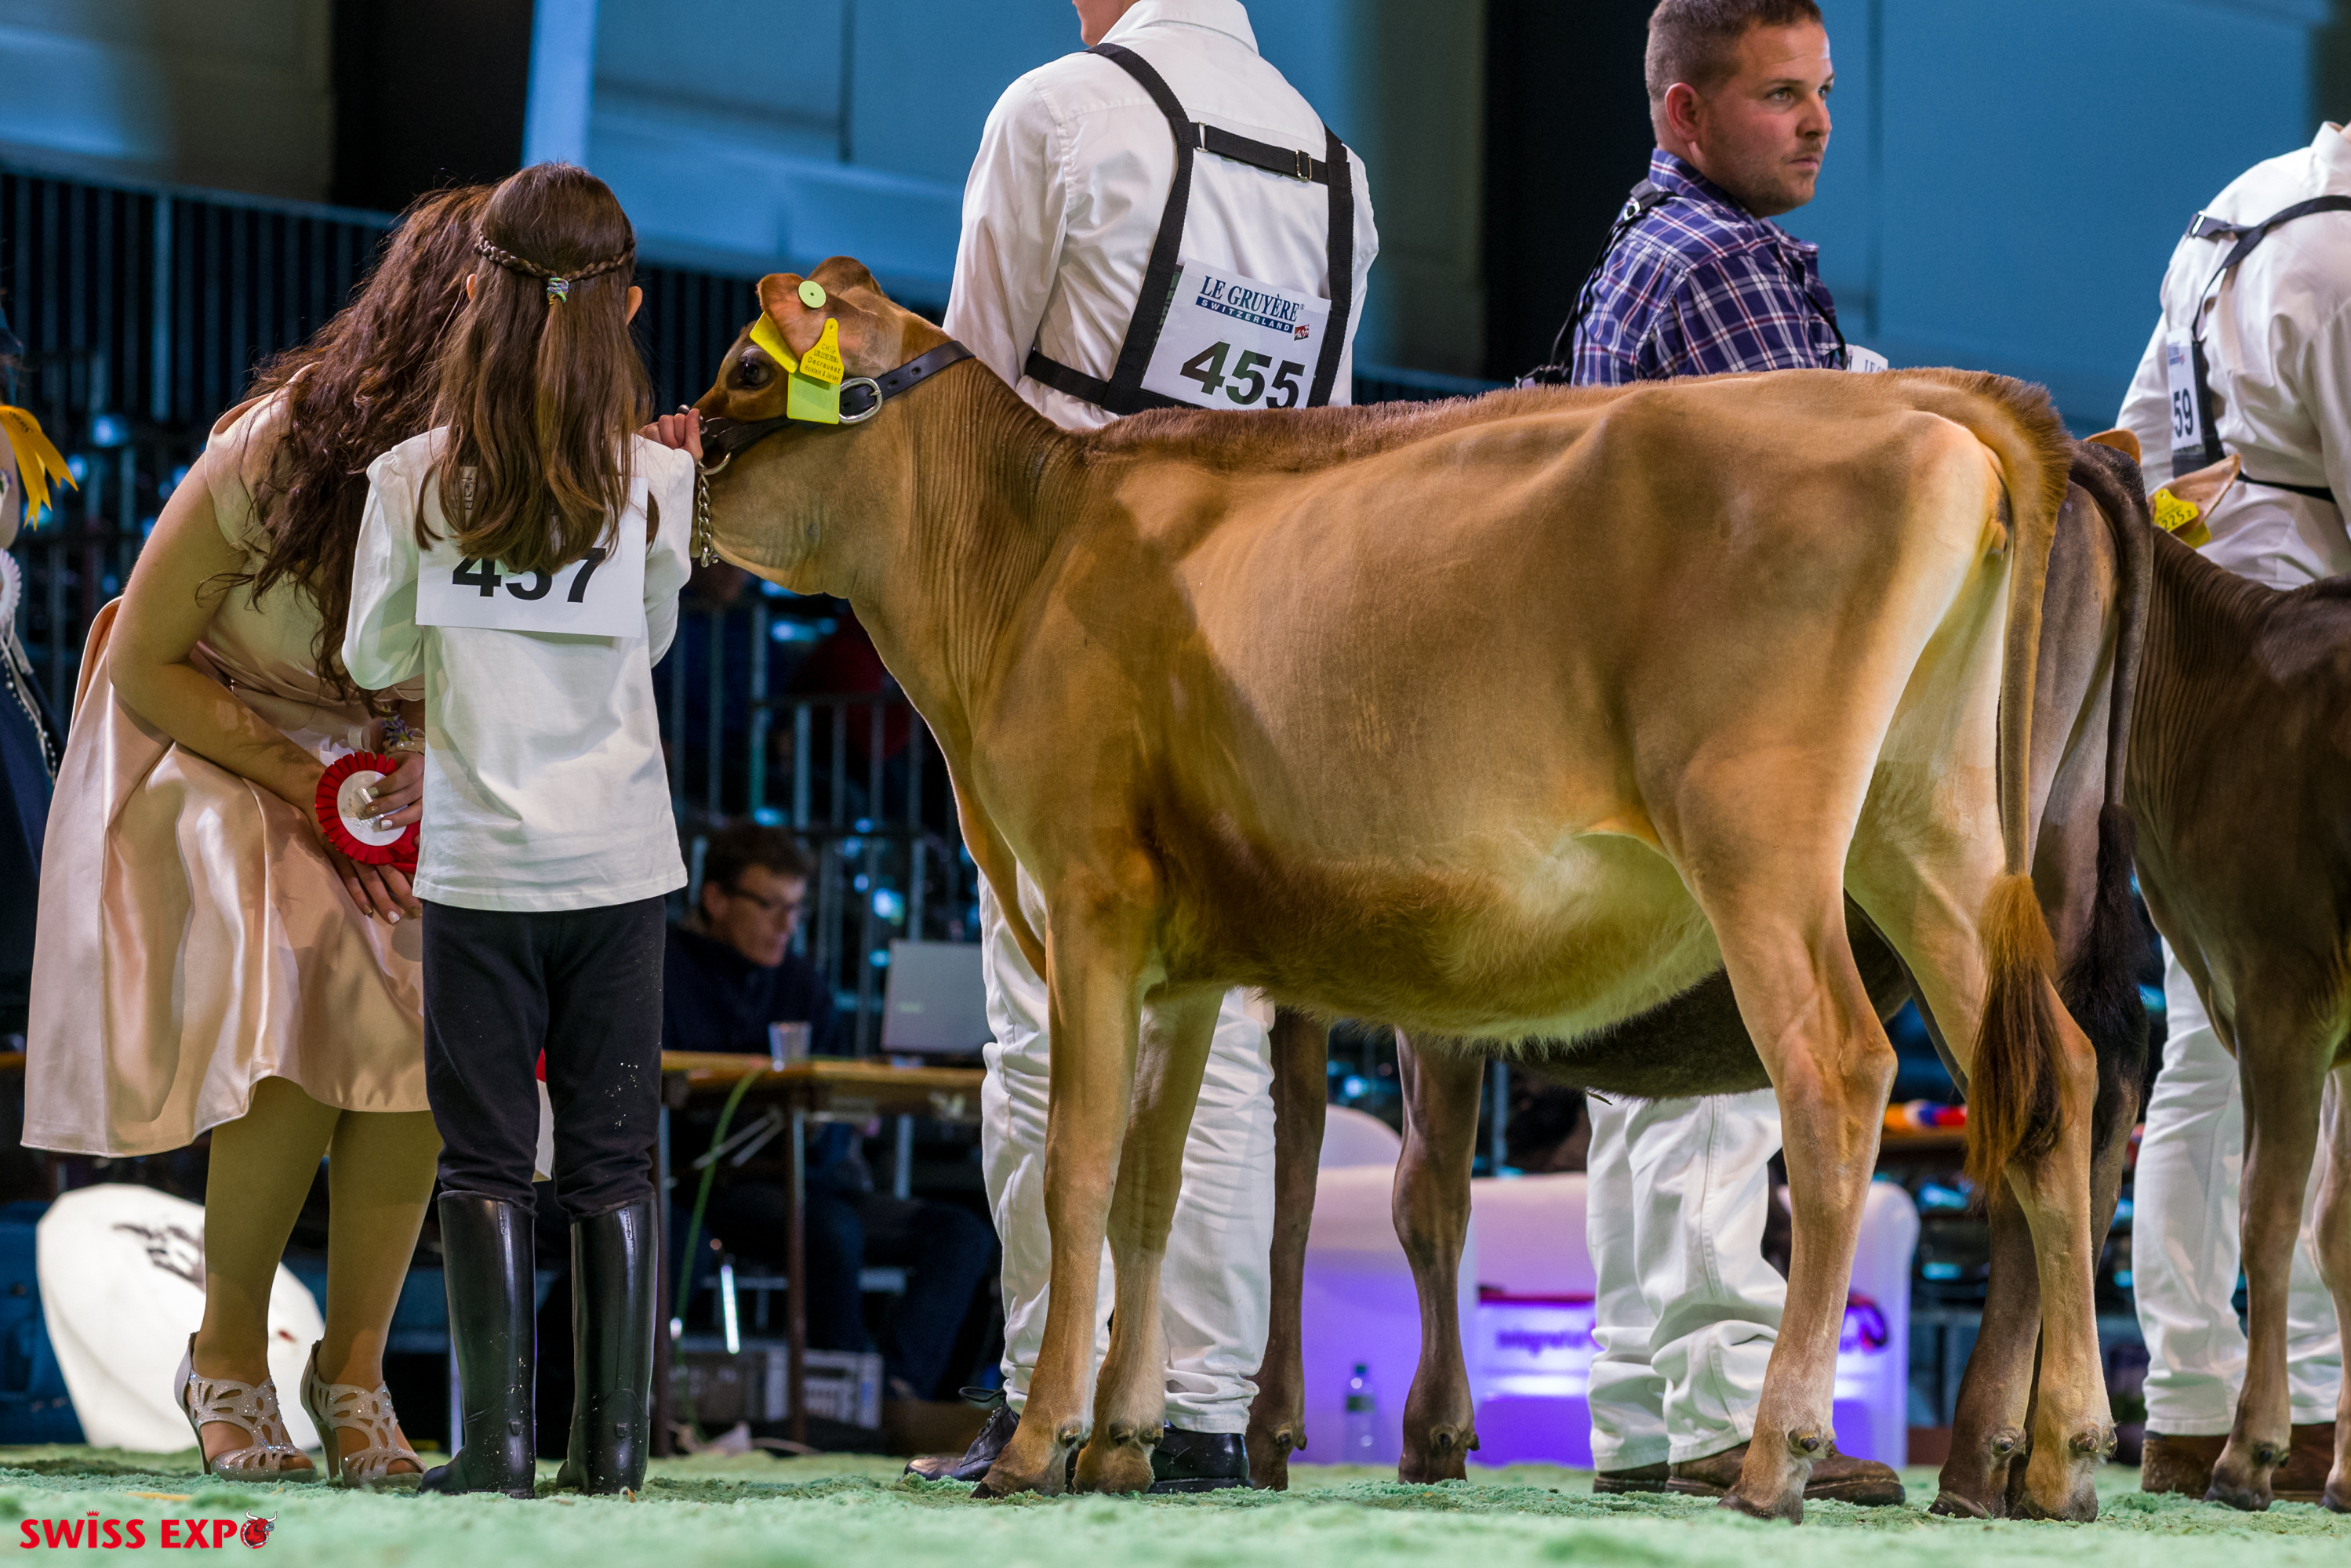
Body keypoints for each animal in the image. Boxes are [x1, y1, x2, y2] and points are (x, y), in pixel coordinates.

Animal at [690, 257, 2113, 1521]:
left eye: (748, 369)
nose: (668, 448)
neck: (1028, 550)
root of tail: (1908, 402)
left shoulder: (1088, 899)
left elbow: (1076, 1169)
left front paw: (1038, 1447)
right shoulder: (1180, 961)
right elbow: (1157, 1183)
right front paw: (1123, 1443)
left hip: (1759, 837)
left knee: (1836, 1072)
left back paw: (1780, 1456)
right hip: (1926, 836)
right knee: (2058, 1081)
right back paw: (2057, 1458)